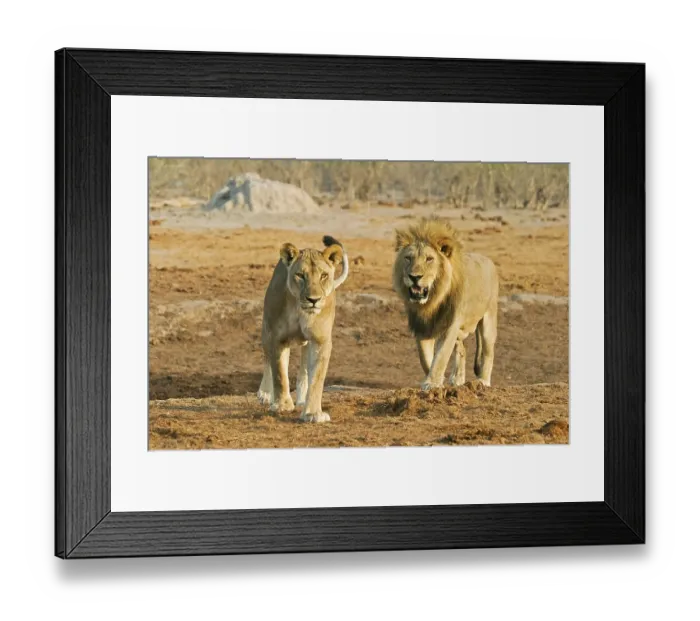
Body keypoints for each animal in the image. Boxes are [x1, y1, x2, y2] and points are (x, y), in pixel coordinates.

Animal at [257, 235, 349, 423]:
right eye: (300, 275)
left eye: (323, 275)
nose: (313, 300)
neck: (300, 310)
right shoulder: (277, 337)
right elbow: (279, 373)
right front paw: (282, 405)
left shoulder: (320, 340)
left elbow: (317, 378)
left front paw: (312, 413)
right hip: (265, 331)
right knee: (268, 361)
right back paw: (266, 393)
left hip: (307, 343)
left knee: (304, 370)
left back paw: (301, 399)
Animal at [393, 217, 499, 390]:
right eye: (408, 258)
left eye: (429, 259)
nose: (414, 277)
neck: (431, 302)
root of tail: (489, 260)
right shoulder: (422, 326)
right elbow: (425, 359)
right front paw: (437, 380)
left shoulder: (450, 325)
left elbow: (441, 356)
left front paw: (431, 383)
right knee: (462, 348)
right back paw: (457, 378)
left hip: (488, 319)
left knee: (489, 351)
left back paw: (483, 381)